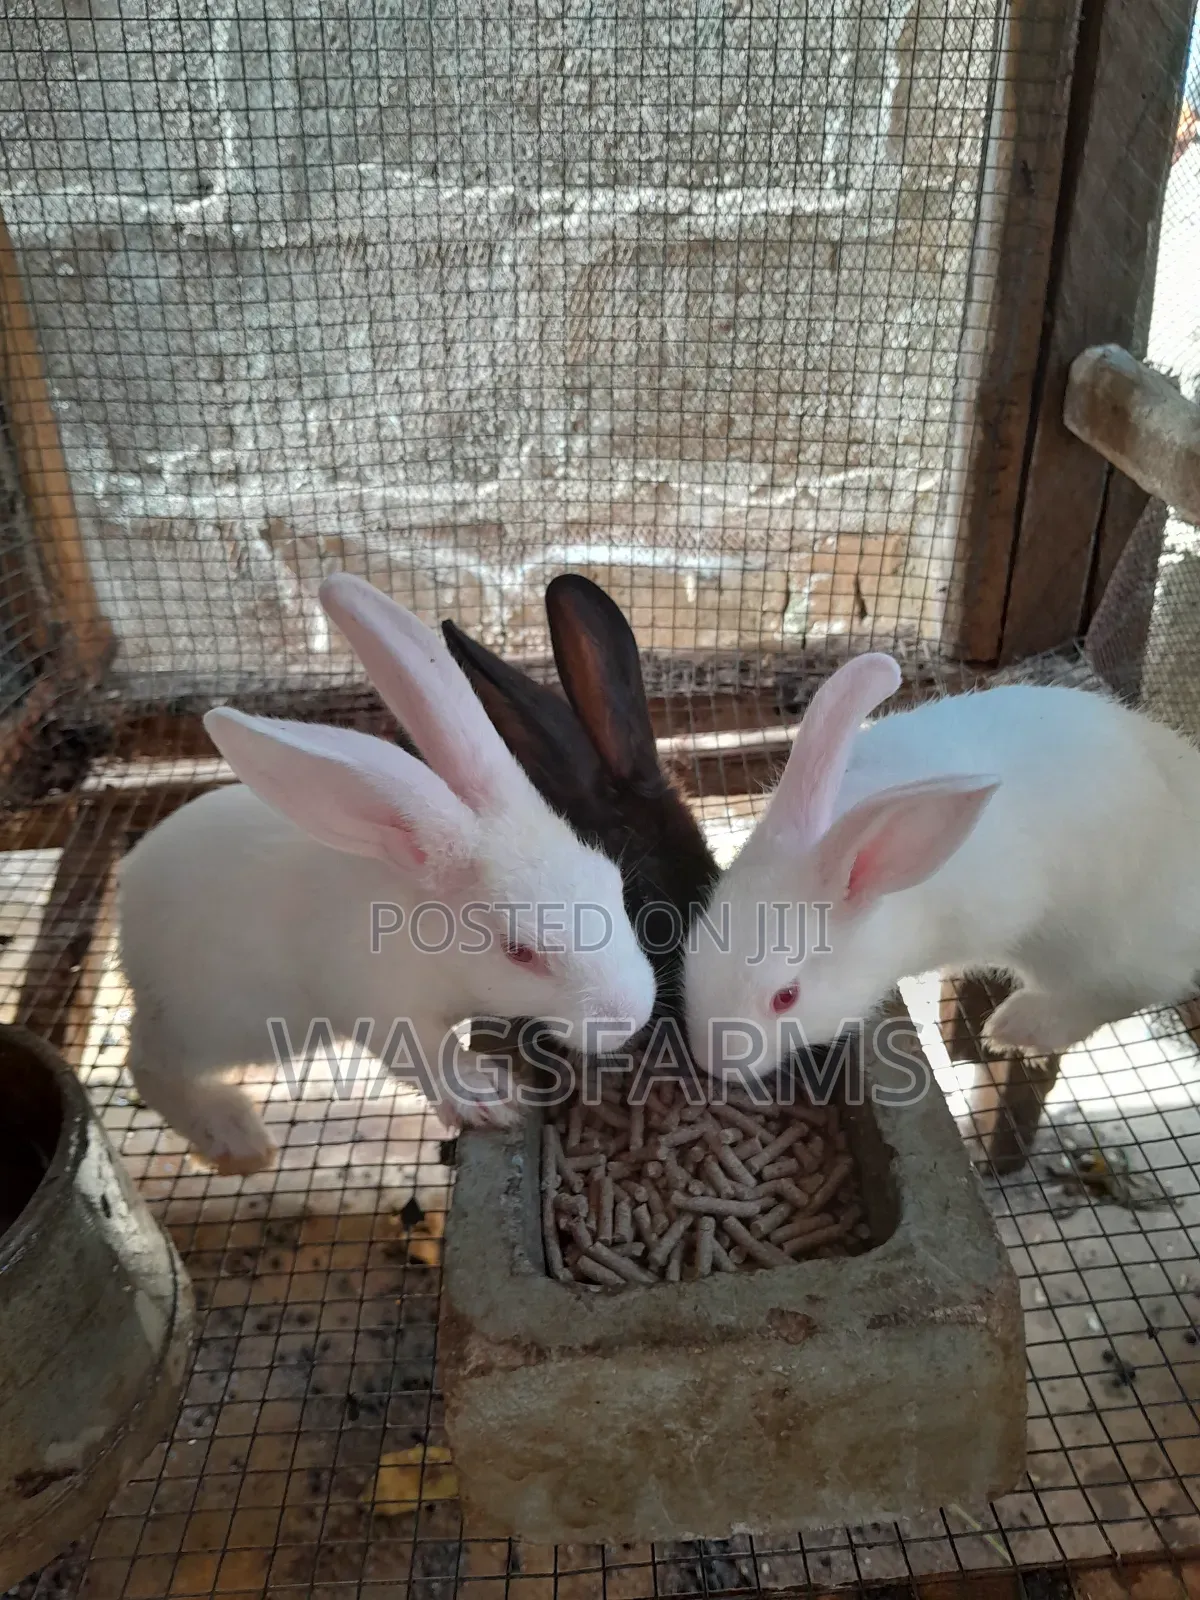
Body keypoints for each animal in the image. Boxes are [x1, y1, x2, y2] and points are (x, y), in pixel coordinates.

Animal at [117, 572, 657, 1176]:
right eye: (519, 952)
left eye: (613, 883)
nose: (631, 1016)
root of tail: (127, 895)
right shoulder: (380, 1004)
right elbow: (427, 1053)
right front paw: (487, 1097)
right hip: (233, 1021)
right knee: (149, 1061)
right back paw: (234, 1136)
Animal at [683, 651, 1200, 1085]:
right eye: (693, 943)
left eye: (786, 997)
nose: (713, 1063)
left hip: (1100, 952)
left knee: (1113, 996)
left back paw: (1014, 1029)